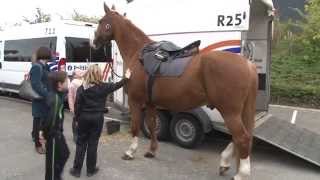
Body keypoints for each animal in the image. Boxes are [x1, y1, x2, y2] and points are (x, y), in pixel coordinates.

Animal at [94, 4, 258, 180]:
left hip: (229, 111)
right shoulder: (151, 103)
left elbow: (136, 126)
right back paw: (225, 163)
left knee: (242, 138)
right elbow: (152, 125)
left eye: (101, 21)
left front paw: (130, 152)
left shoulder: (135, 100)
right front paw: (151, 151)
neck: (138, 53)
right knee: (242, 137)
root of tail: (248, 64)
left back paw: (241, 173)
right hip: (240, 111)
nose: (94, 42)